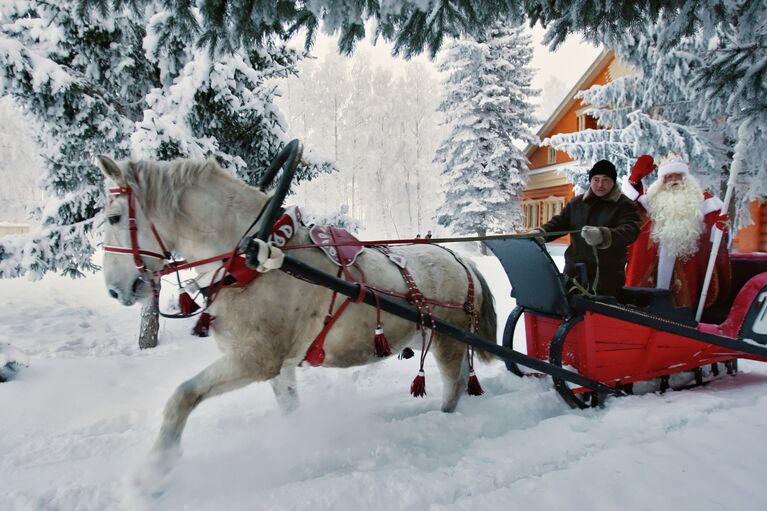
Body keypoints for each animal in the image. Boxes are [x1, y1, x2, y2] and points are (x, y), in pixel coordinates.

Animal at [96, 154, 496, 482]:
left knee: (453, 386)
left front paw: (153, 475)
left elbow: (182, 396)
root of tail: (462, 260)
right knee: (462, 377)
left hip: (448, 341)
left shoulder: (256, 359)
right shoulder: (280, 366)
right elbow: (289, 409)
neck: (255, 259)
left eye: (114, 217)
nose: (114, 290)